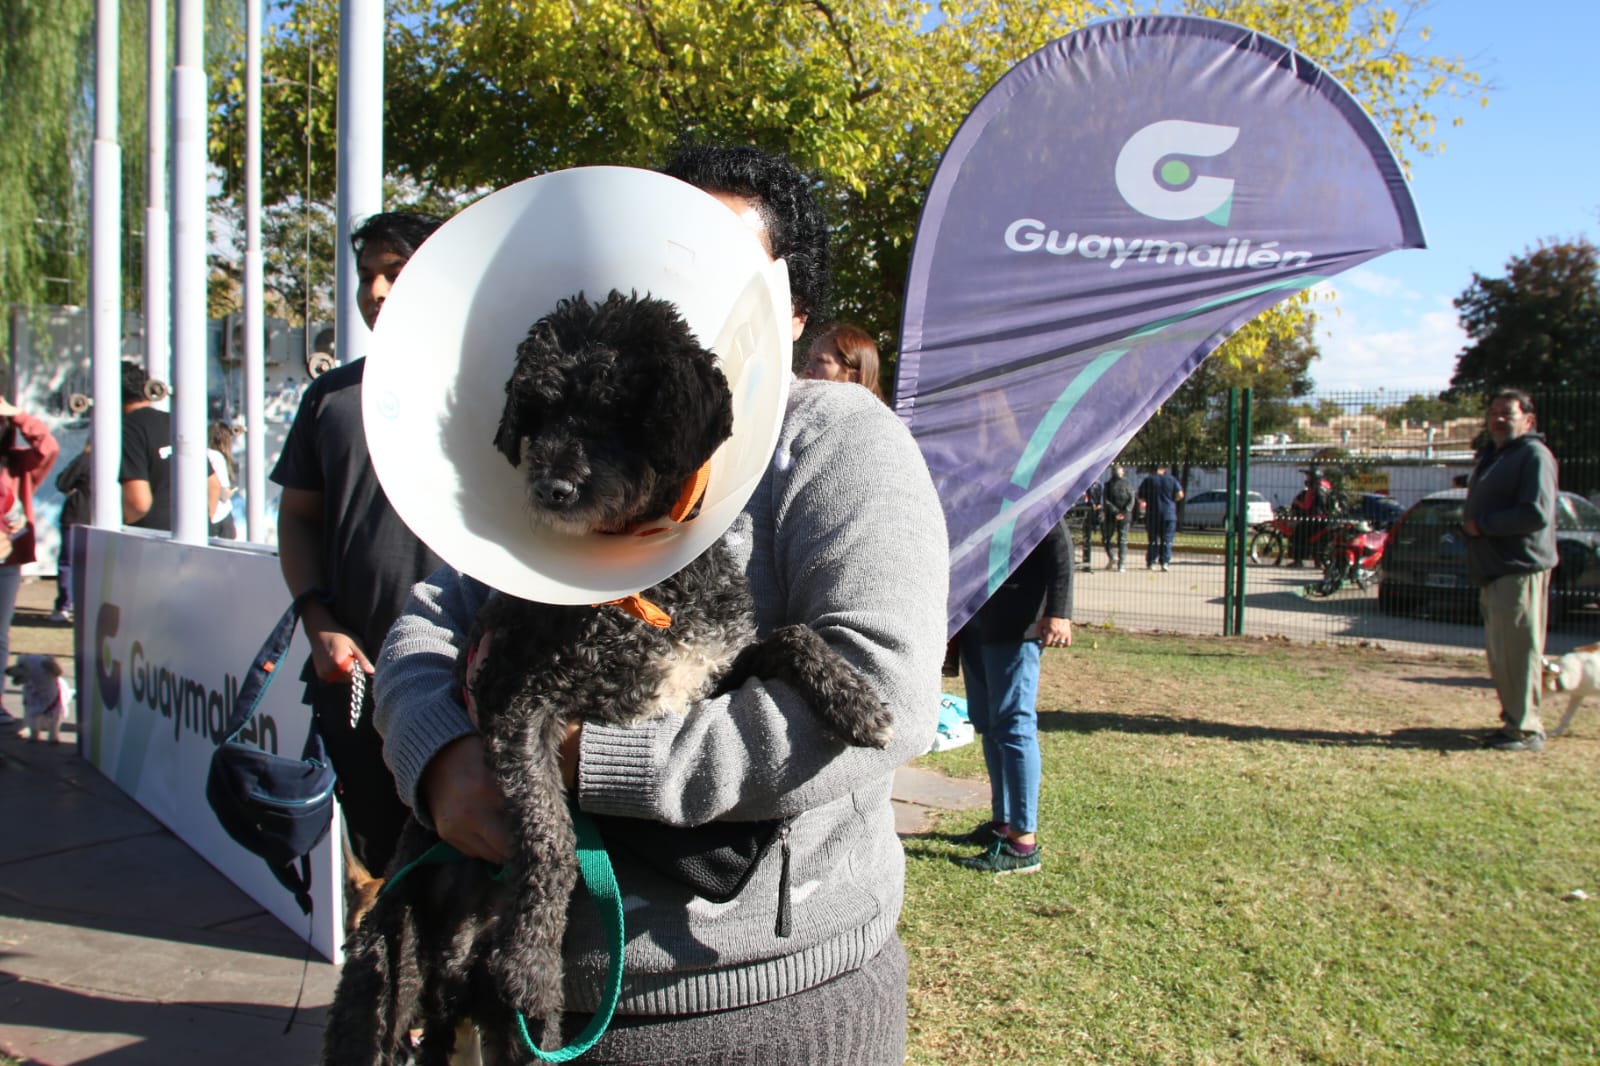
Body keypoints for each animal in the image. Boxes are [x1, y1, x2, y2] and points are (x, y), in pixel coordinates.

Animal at [324, 286, 896, 1056]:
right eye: (537, 413)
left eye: (621, 409)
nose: (552, 487)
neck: (643, 599)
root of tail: (451, 979)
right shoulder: (522, 713)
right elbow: (551, 837)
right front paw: (534, 959)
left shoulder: (710, 673)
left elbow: (791, 633)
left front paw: (856, 697)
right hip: (382, 988)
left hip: (504, 1036)